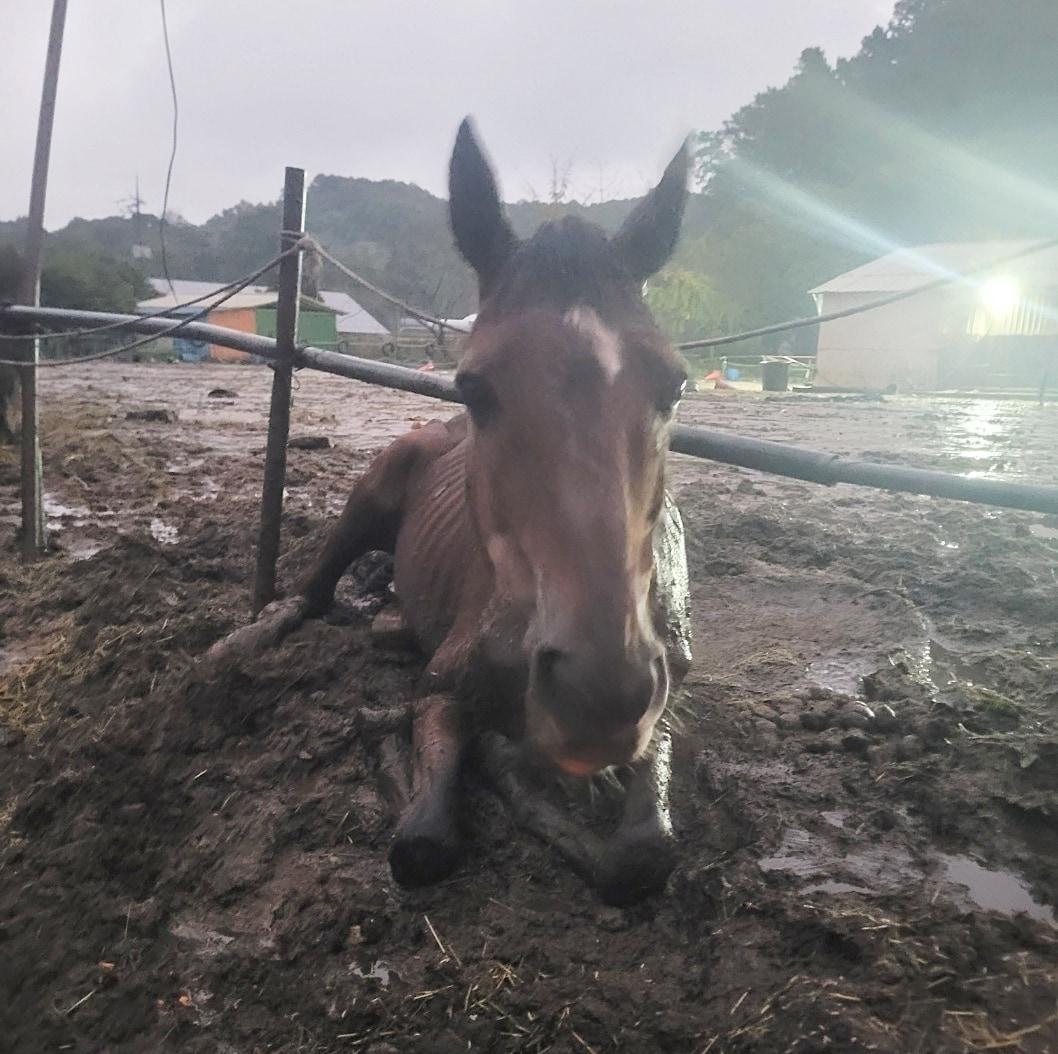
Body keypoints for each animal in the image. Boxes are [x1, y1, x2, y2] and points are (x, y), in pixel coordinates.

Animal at [211, 119, 698, 901]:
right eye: (474, 387)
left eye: (676, 385)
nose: (597, 695)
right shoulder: (440, 691)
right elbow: (422, 842)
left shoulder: (663, 705)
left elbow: (644, 855)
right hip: (370, 494)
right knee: (311, 591)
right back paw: (247, 638)